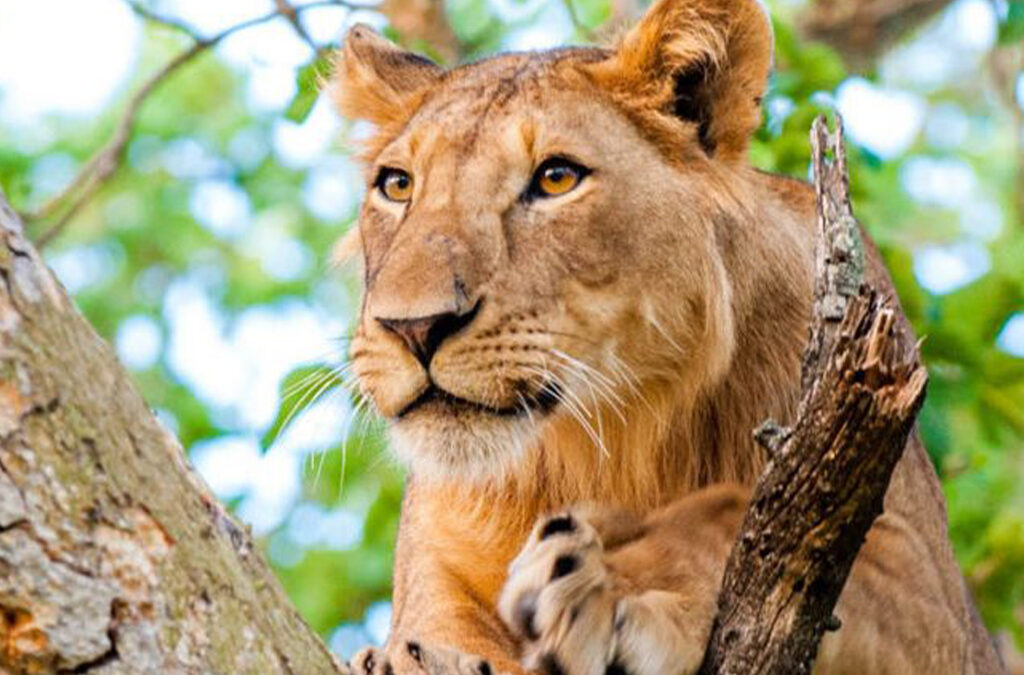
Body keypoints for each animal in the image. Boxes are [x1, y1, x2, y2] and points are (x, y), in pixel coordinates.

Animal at [331, 0, 1005, 672]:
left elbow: (729, 515)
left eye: (556, 178)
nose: (414, 328)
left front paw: (611, 584)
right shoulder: (432, 586)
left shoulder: (936, 602)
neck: (608, 438)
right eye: (397, 185)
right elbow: (429, 637)